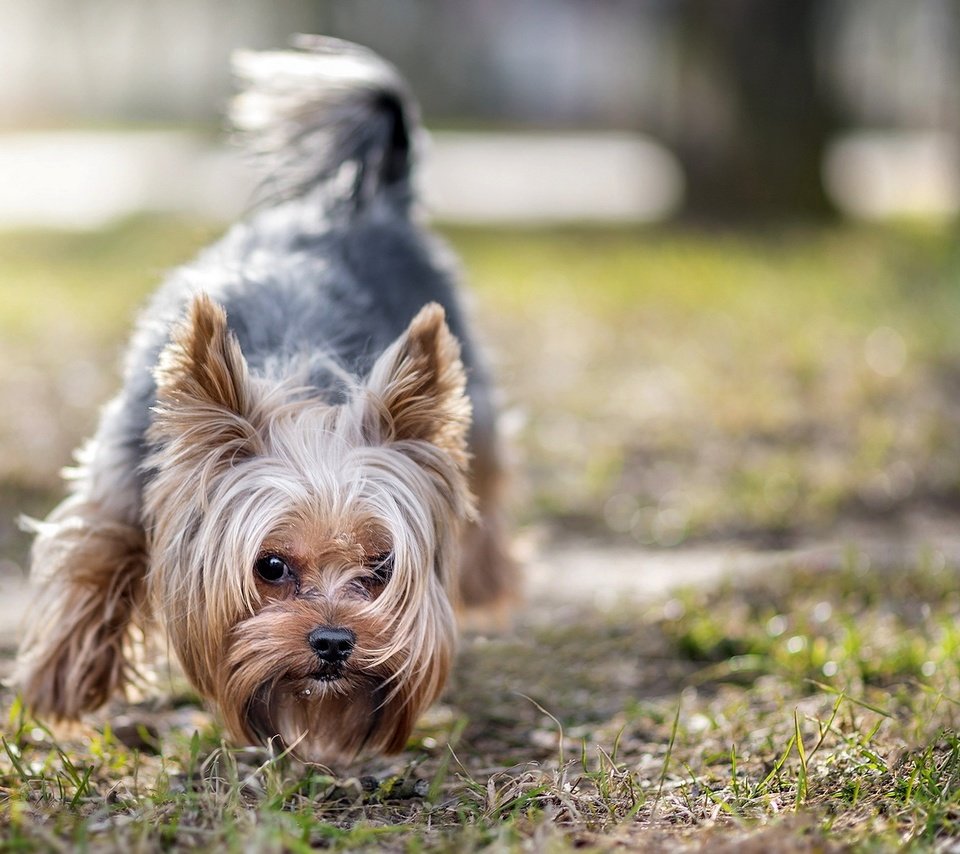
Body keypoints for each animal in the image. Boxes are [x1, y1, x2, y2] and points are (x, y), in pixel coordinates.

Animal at [13, 36, 516, 764]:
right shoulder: (127, 463)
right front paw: (64, 680)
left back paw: (488, 581)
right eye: (270, 566)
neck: (299, 386)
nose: (335, 641)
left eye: (382, 567)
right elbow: (97, 551)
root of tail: (364, 202)